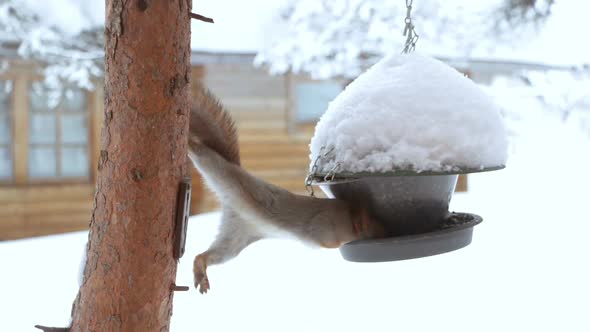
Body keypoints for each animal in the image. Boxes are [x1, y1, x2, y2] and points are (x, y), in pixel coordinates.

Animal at [187, 86, 386, 294]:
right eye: (373, 223)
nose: (384, 229)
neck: (346, 216)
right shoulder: (324, 225)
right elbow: (328, 241)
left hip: (233, 240)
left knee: (208, 255)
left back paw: (201, 270)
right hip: (219, 170)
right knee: (202, 152)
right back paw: (189, 142)